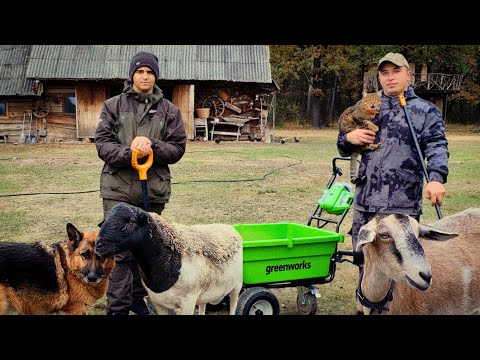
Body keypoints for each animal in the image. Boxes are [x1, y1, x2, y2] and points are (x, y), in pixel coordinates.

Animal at [94, 202, 244, 316]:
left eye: (130, 221)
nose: (98, 247)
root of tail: (228, 227)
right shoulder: (158, 302)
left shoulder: (188, 302)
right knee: (203, 307)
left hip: (237, 285)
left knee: (233, 305)